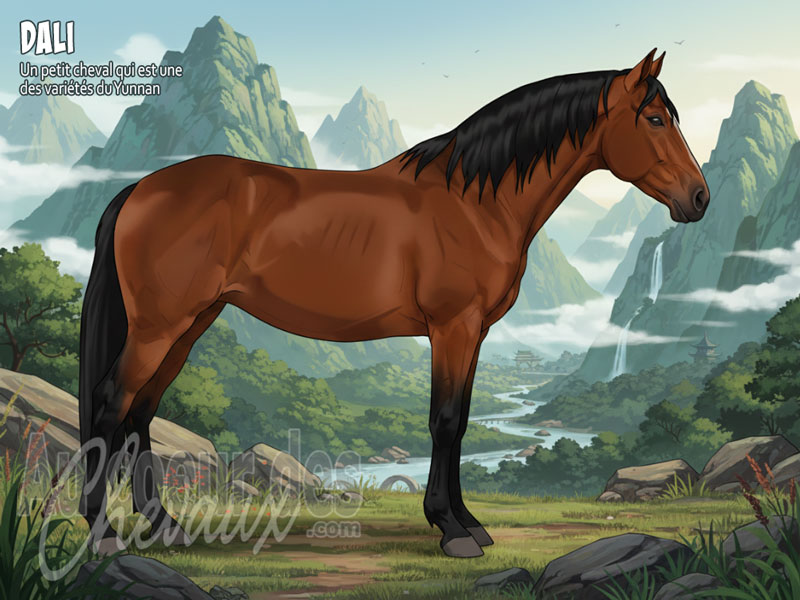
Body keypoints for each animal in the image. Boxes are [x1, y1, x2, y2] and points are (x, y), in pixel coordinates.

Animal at [79, 48, 709, 558]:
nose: (699, 198)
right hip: (160, 326)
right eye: (655, 118)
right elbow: (446, 422)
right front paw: (451, 530)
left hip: (188, 326)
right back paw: (102, 532)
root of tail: (140, 188)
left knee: (141, 413)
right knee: (113, 404)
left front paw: (468, 523)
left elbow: (461, 422)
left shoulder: (473, 334)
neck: (474, 201)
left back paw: (165, 526)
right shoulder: (452, 327)